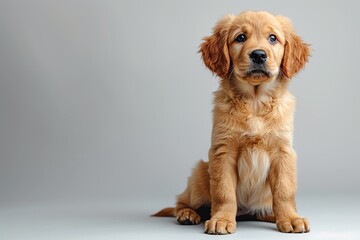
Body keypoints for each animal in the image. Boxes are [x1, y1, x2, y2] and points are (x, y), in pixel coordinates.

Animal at [153, 10, 310, 234]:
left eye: (273, 38)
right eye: (240, 38)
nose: (258, 55)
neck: (255, 102)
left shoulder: (283, 151)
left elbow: (284, 191)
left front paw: (290, 217)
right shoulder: (223, 150)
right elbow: (223, 192)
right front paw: (221, 220)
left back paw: (272, 214)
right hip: (199, 174)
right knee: (181, 201)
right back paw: (187, 214)